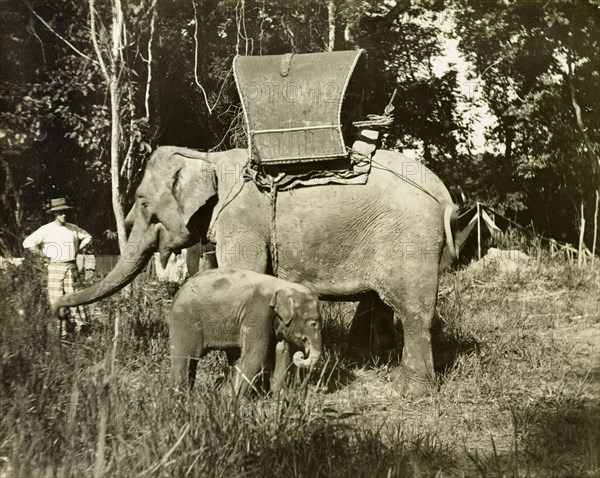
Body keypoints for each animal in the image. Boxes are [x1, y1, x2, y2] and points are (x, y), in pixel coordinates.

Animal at [168, 266, 324, 396]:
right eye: (313, 324)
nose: (302, 354)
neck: (283, 286)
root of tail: (179, 290)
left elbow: (282, 353)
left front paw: (277, 398)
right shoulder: (257, 315)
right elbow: (255, 355)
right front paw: (236, 400)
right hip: (184, 319)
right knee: (185, 357)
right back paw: (180, 396)